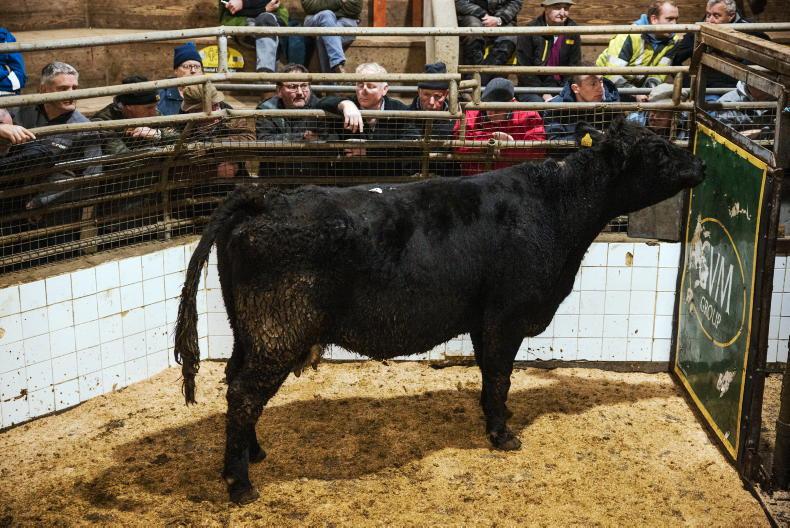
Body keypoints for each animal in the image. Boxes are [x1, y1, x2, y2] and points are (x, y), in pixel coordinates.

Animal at [174, 118, 705, 504]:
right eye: (658, 150)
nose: (699, 163)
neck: (558, 207)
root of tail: (264, 197)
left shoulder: (482, 320)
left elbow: (492, 375)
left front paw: (498, 419)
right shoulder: (505, 315)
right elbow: (499, 374)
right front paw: (502, 434)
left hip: (250, 331)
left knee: (236, 384)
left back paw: (252, 454)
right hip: (278, 330)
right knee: (244, 393)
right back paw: (241, 484)